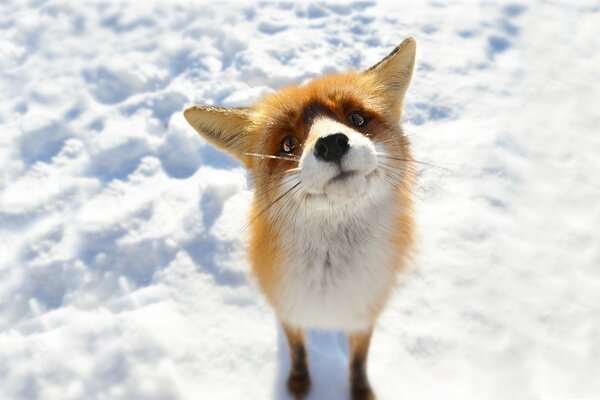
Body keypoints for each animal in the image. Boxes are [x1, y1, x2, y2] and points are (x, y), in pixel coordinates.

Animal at [184, 38, 418, 400]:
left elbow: (358, 360)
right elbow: (297, 349)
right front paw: (298, 383)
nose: (332, 144)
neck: (332, 278)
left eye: (357, 118)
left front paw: (360, 391)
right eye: (288, 143)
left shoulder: (365, 312)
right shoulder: (288, 307)